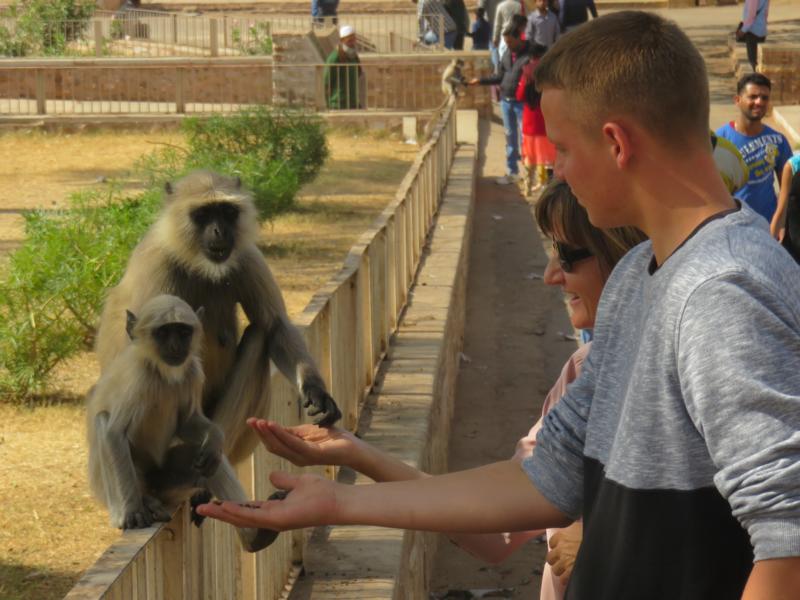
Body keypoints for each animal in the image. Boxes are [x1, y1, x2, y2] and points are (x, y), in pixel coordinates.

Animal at [87, 294, 280, 551]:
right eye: (163, 332)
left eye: (182, 332)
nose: (175, 347)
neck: (161, 372)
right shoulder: (139, 377)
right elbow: (114, 432)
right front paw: (133, 510)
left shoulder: (192, 370)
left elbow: (188, 423)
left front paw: (215, 439)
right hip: (120, 483)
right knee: (103, 420)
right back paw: (132, 507)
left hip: (165, 481)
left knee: (205, 459)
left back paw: (254, 535)